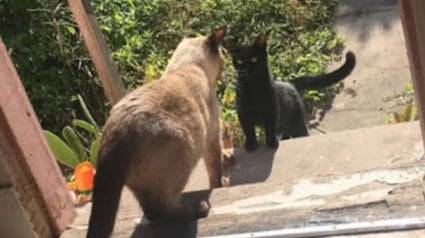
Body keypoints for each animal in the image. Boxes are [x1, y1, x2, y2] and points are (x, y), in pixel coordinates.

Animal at [85, 27, 225, 238]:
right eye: (223, 59)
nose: (222, 74)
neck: (187, 66)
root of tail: (116, 129)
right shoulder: (212, 137)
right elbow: (215, 172)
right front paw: (221, 184)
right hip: (184, 151)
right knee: (158, 208)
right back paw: (198, 208)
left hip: (141, 183)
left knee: (150, 211)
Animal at [227, 34, 356, 152]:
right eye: (239, 61)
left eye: (254, 59)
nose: (245, 70)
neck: (254, 87)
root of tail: (289, 83)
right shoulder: (243, 113)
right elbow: (248, 130)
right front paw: (251, 145)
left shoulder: (271, 111)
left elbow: (270, 128)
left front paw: (272, 142)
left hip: (296, 124)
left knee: (301, 134)